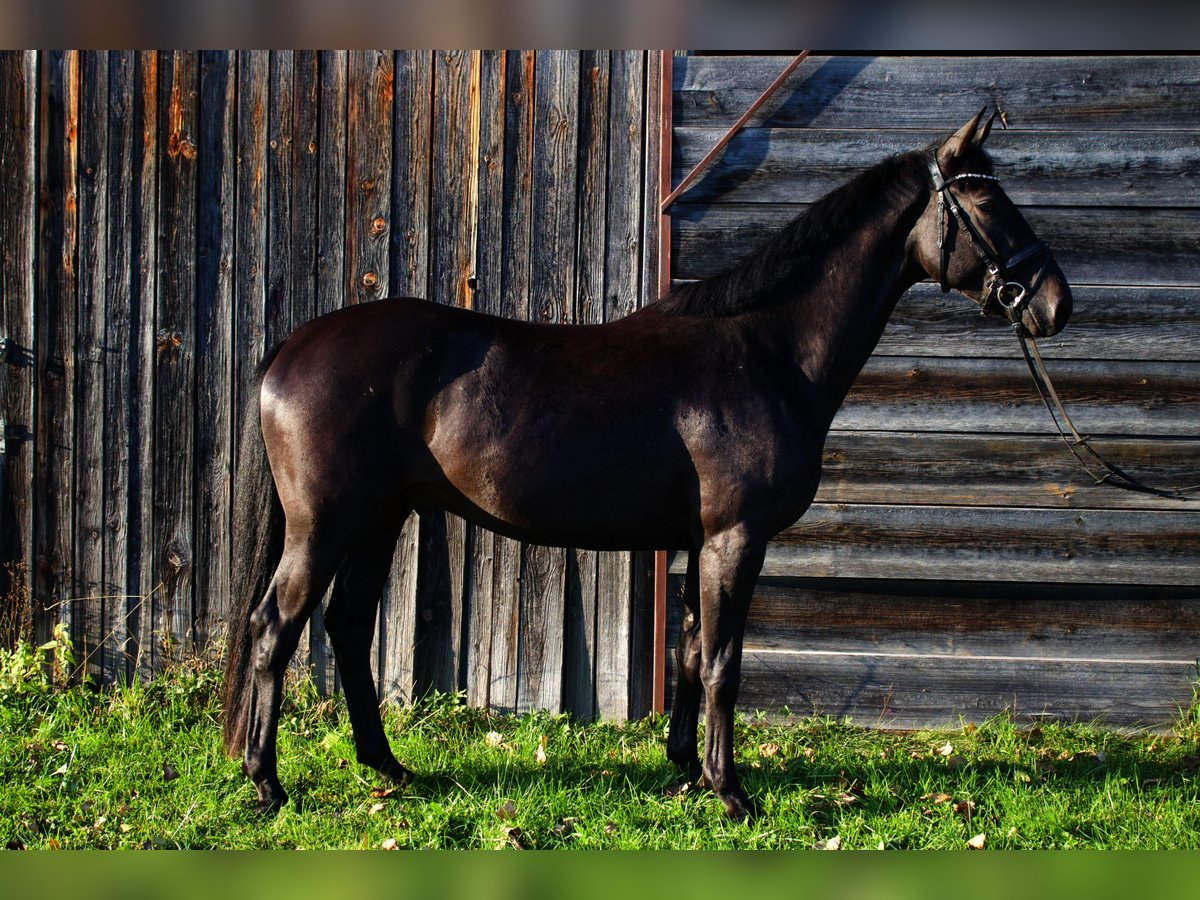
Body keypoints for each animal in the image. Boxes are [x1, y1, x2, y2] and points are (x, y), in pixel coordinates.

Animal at [220, 109, 1075, 820]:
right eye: (989, 207)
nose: (1055, 304)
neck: (766, 351)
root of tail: (290, 347)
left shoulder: (704, 542)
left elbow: (692, 654)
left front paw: (686, 769)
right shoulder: (736, 538)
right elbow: (725, 661)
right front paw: (731, 792)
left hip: (379, 519)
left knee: (347, 627)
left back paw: (388, 767)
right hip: (325, 525)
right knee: (275, 628)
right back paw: (268, 784)